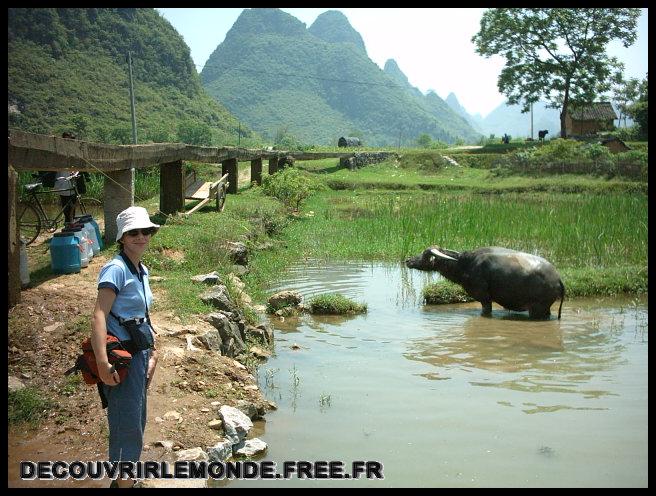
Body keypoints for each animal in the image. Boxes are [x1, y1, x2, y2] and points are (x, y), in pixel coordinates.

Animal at [404, 246, 564, 320]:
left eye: (424, 254)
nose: (408, 260)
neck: (466, 264)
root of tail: (557, 278)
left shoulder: (484, 298)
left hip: (537, 308)